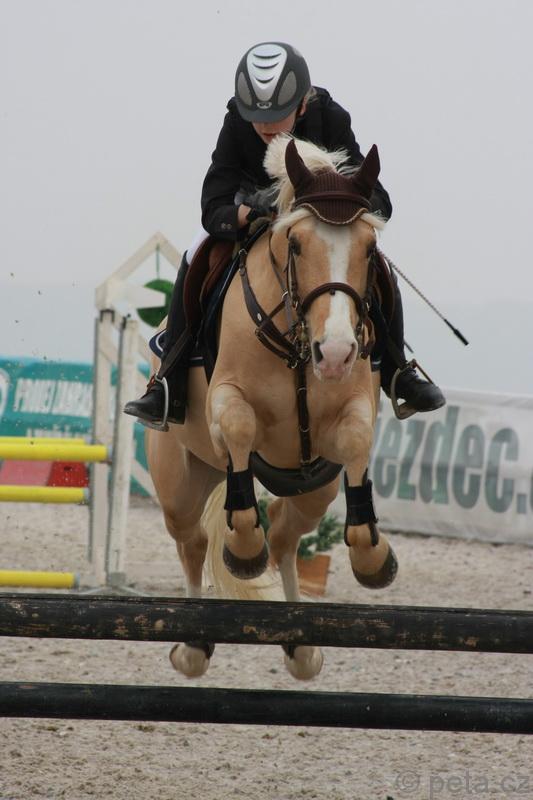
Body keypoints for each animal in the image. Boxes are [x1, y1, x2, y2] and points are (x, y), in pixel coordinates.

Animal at [145, 134, 398, 681]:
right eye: (296, 244)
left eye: (369, 249)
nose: (337, 353)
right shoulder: (226, 398)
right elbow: (239, 428)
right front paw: (243, 550)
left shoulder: (350, 415)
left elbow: (355, 441)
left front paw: (373, 558)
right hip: (179, 481)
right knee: (192, 540)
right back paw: (192, 645)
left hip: (315, 489)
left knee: (284, 534)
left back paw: (300, 647)